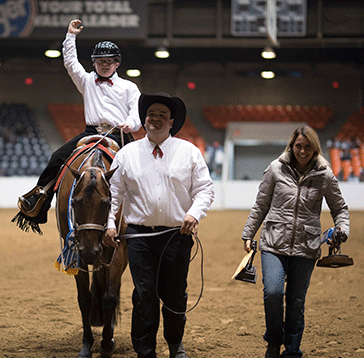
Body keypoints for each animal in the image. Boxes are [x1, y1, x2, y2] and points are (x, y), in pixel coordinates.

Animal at [54, 136, 127, 356]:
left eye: (106, 203)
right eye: (75, 202)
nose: (89, 252)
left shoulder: (117, 249)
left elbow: (110, 297)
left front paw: (106, 343)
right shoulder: (75, 250)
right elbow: (84, 299)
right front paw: (87, 344)